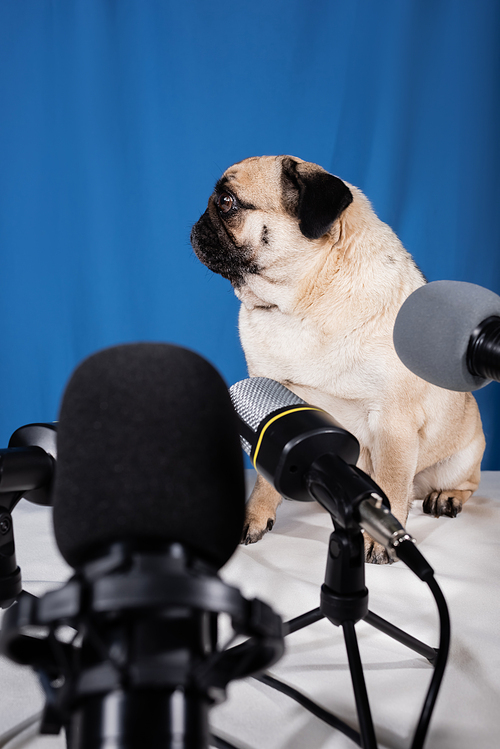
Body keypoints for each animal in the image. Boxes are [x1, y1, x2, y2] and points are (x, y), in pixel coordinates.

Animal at [190, 155, 484, 560]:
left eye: (225, 202)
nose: (196, 222)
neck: (303, 305)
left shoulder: (393, 420)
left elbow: (392, 481)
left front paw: (382, 539)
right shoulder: (269, 405)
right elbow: (265, 476)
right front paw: (256, 514)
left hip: (463, 456)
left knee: (457, 484)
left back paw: (445, 497)